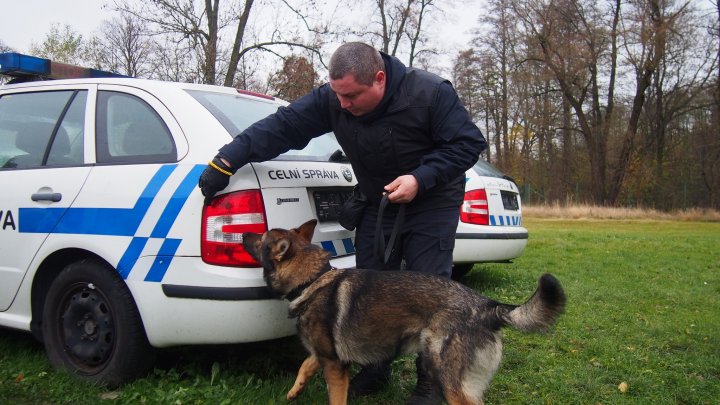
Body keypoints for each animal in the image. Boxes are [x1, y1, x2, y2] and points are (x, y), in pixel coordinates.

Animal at [243, 219, 568, 402]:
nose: (244, 233)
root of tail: (486, 306)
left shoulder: (335, 367)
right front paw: (294, 391)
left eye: (261, 237)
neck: (312, 279)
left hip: (449, 379)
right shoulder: (328, 356)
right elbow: (306, 364)